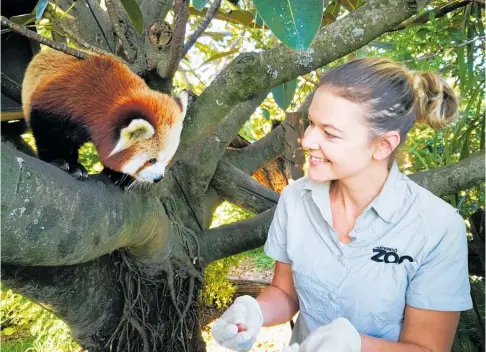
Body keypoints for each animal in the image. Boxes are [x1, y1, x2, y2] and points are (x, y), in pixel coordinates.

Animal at [21, 47, 188, 184]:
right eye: (151, 160)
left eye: (168, 160)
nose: (158, 178)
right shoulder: (60, 102)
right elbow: (48, 133)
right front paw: (61, 161)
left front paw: (118, 175)